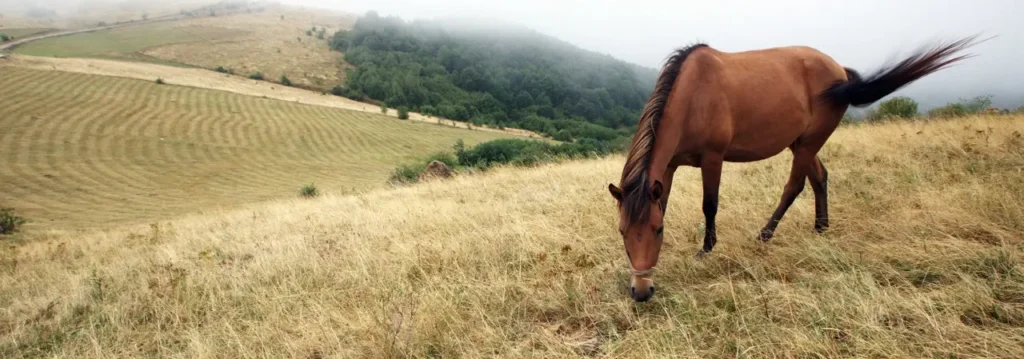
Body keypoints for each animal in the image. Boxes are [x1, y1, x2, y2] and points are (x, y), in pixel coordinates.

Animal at [606, 36, 983, 302]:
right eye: (623, 232)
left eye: (656, 231)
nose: (641, 291)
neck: (693, 96)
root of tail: (840, 71)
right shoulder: (668, 166)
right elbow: (665, 202)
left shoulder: (713, 158)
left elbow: (709, 205)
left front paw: (706, 250)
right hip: (801, 142)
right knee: (819, 177)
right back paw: (821, 229)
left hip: (807, 143)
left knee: (796, 185)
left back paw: (765, 234)